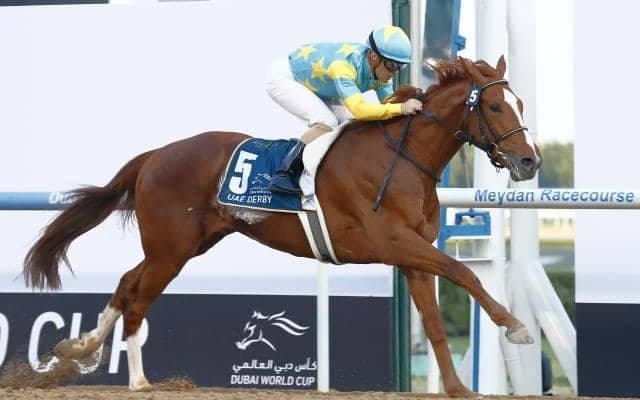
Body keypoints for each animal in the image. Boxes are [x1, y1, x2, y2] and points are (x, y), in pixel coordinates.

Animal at [23, 56, 541, 396]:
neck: (403, 157)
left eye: (521, 102)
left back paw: (81, 347)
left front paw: (457, 388)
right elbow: (464, 271)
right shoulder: (392, 240)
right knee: (138, 295)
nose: (529, 161)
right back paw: (136, 379)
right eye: (496, 107)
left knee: (128, 283)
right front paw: (515, 326)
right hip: (171, 248)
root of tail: (156, 154)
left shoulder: (412, 253)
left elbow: (433, 319)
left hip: (185, 243)